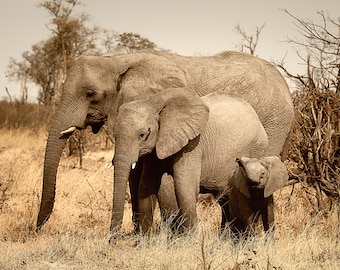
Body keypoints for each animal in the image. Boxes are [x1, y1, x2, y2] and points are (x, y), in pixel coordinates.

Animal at [35, 49, 294, 233]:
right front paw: (140, 237)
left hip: (272, 126)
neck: (119, 60)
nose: (37, 229)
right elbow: (135, 177)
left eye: (90, 94)